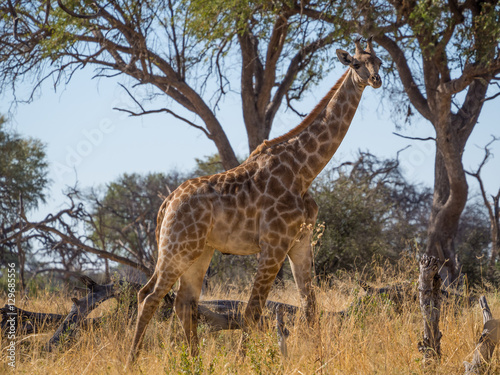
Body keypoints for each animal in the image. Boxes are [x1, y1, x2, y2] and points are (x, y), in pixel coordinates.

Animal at [128, 36, 382, 362]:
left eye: (379, 61)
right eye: (357, 63)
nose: (376, 80)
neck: (304, 170)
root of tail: (166, 203)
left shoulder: (300, 242)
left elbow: (310, 308)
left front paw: (320, 360)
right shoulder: (273, 244)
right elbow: (252, 311)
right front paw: (241, 362)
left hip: (200, 250)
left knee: (183, 301)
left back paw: (194, 361)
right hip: (177, 248)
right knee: (149, 295)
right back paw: (131, 360)